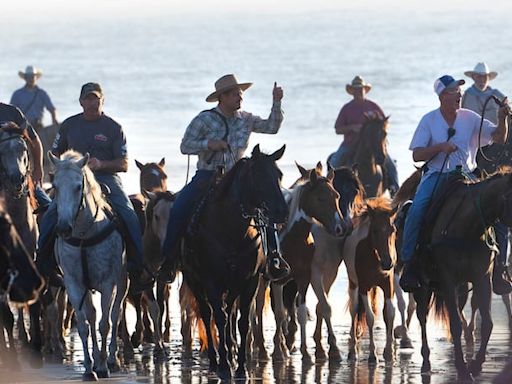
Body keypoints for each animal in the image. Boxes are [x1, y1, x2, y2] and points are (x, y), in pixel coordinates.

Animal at [49, 150, 128, 380]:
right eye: (55, 186)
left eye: (78, 186)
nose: (63, 228)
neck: (85, 235)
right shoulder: (74, 284)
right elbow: (85, 325)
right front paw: (88, 369)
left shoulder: (108, 283)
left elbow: (105, 324)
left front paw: (102, 366)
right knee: (92, 316)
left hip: (123, 281)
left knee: (115, 314)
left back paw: (111, 359)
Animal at [182, 145, 290, 380]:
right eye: (259, 175)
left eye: (279, 175)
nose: (282, 212)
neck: (231, 230)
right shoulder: (211, 282)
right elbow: (219, 318)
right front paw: (224, 365)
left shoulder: (250, 281)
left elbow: (242, 322)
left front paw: (240, 367)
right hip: (195, 281)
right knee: (208, 314)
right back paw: (216, 360)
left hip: (232, 287)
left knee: (230, 312)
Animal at [270, 164, 346, 362]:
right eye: (320, 198)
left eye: (337, 196)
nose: (341, 228)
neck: (293, 238)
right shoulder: (277, 281)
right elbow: (279, 313)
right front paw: (279, 350)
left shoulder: (303, 277)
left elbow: (301, 313)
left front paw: (305, 352)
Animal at [342, 198, 398, 364]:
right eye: (374, 230)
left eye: (393, 230)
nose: (387, 263)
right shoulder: (364, 288)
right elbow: (370, 317)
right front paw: (373, 355)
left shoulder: (388, 286)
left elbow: (389, 314)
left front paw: (389, 352)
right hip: (353, 285)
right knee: (354, 310)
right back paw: (352, 351)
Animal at [412, 170, 512, 380]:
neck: (469, 226)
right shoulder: (448, 279)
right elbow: (455, 324)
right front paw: (462, 368)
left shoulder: (483, 277)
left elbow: (487, 323)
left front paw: (476, 364)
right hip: (422, 287)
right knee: (422, 316)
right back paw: (426, 361)